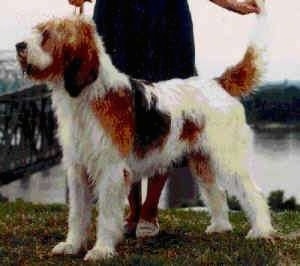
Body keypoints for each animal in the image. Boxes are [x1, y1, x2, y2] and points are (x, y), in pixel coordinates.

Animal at [16, 0, 274, 262]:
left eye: (47, 35)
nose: (19, 46)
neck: (87, 95)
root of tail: (218, 83)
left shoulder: (110, 169)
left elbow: (106, 215)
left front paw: (101, 250)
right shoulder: (78, 169)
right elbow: (77, 214)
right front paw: (72, 245)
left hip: (227, 157)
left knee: (254, 192)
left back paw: (261, 231)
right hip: (201, 160)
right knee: (217, 192)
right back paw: (220, 226)